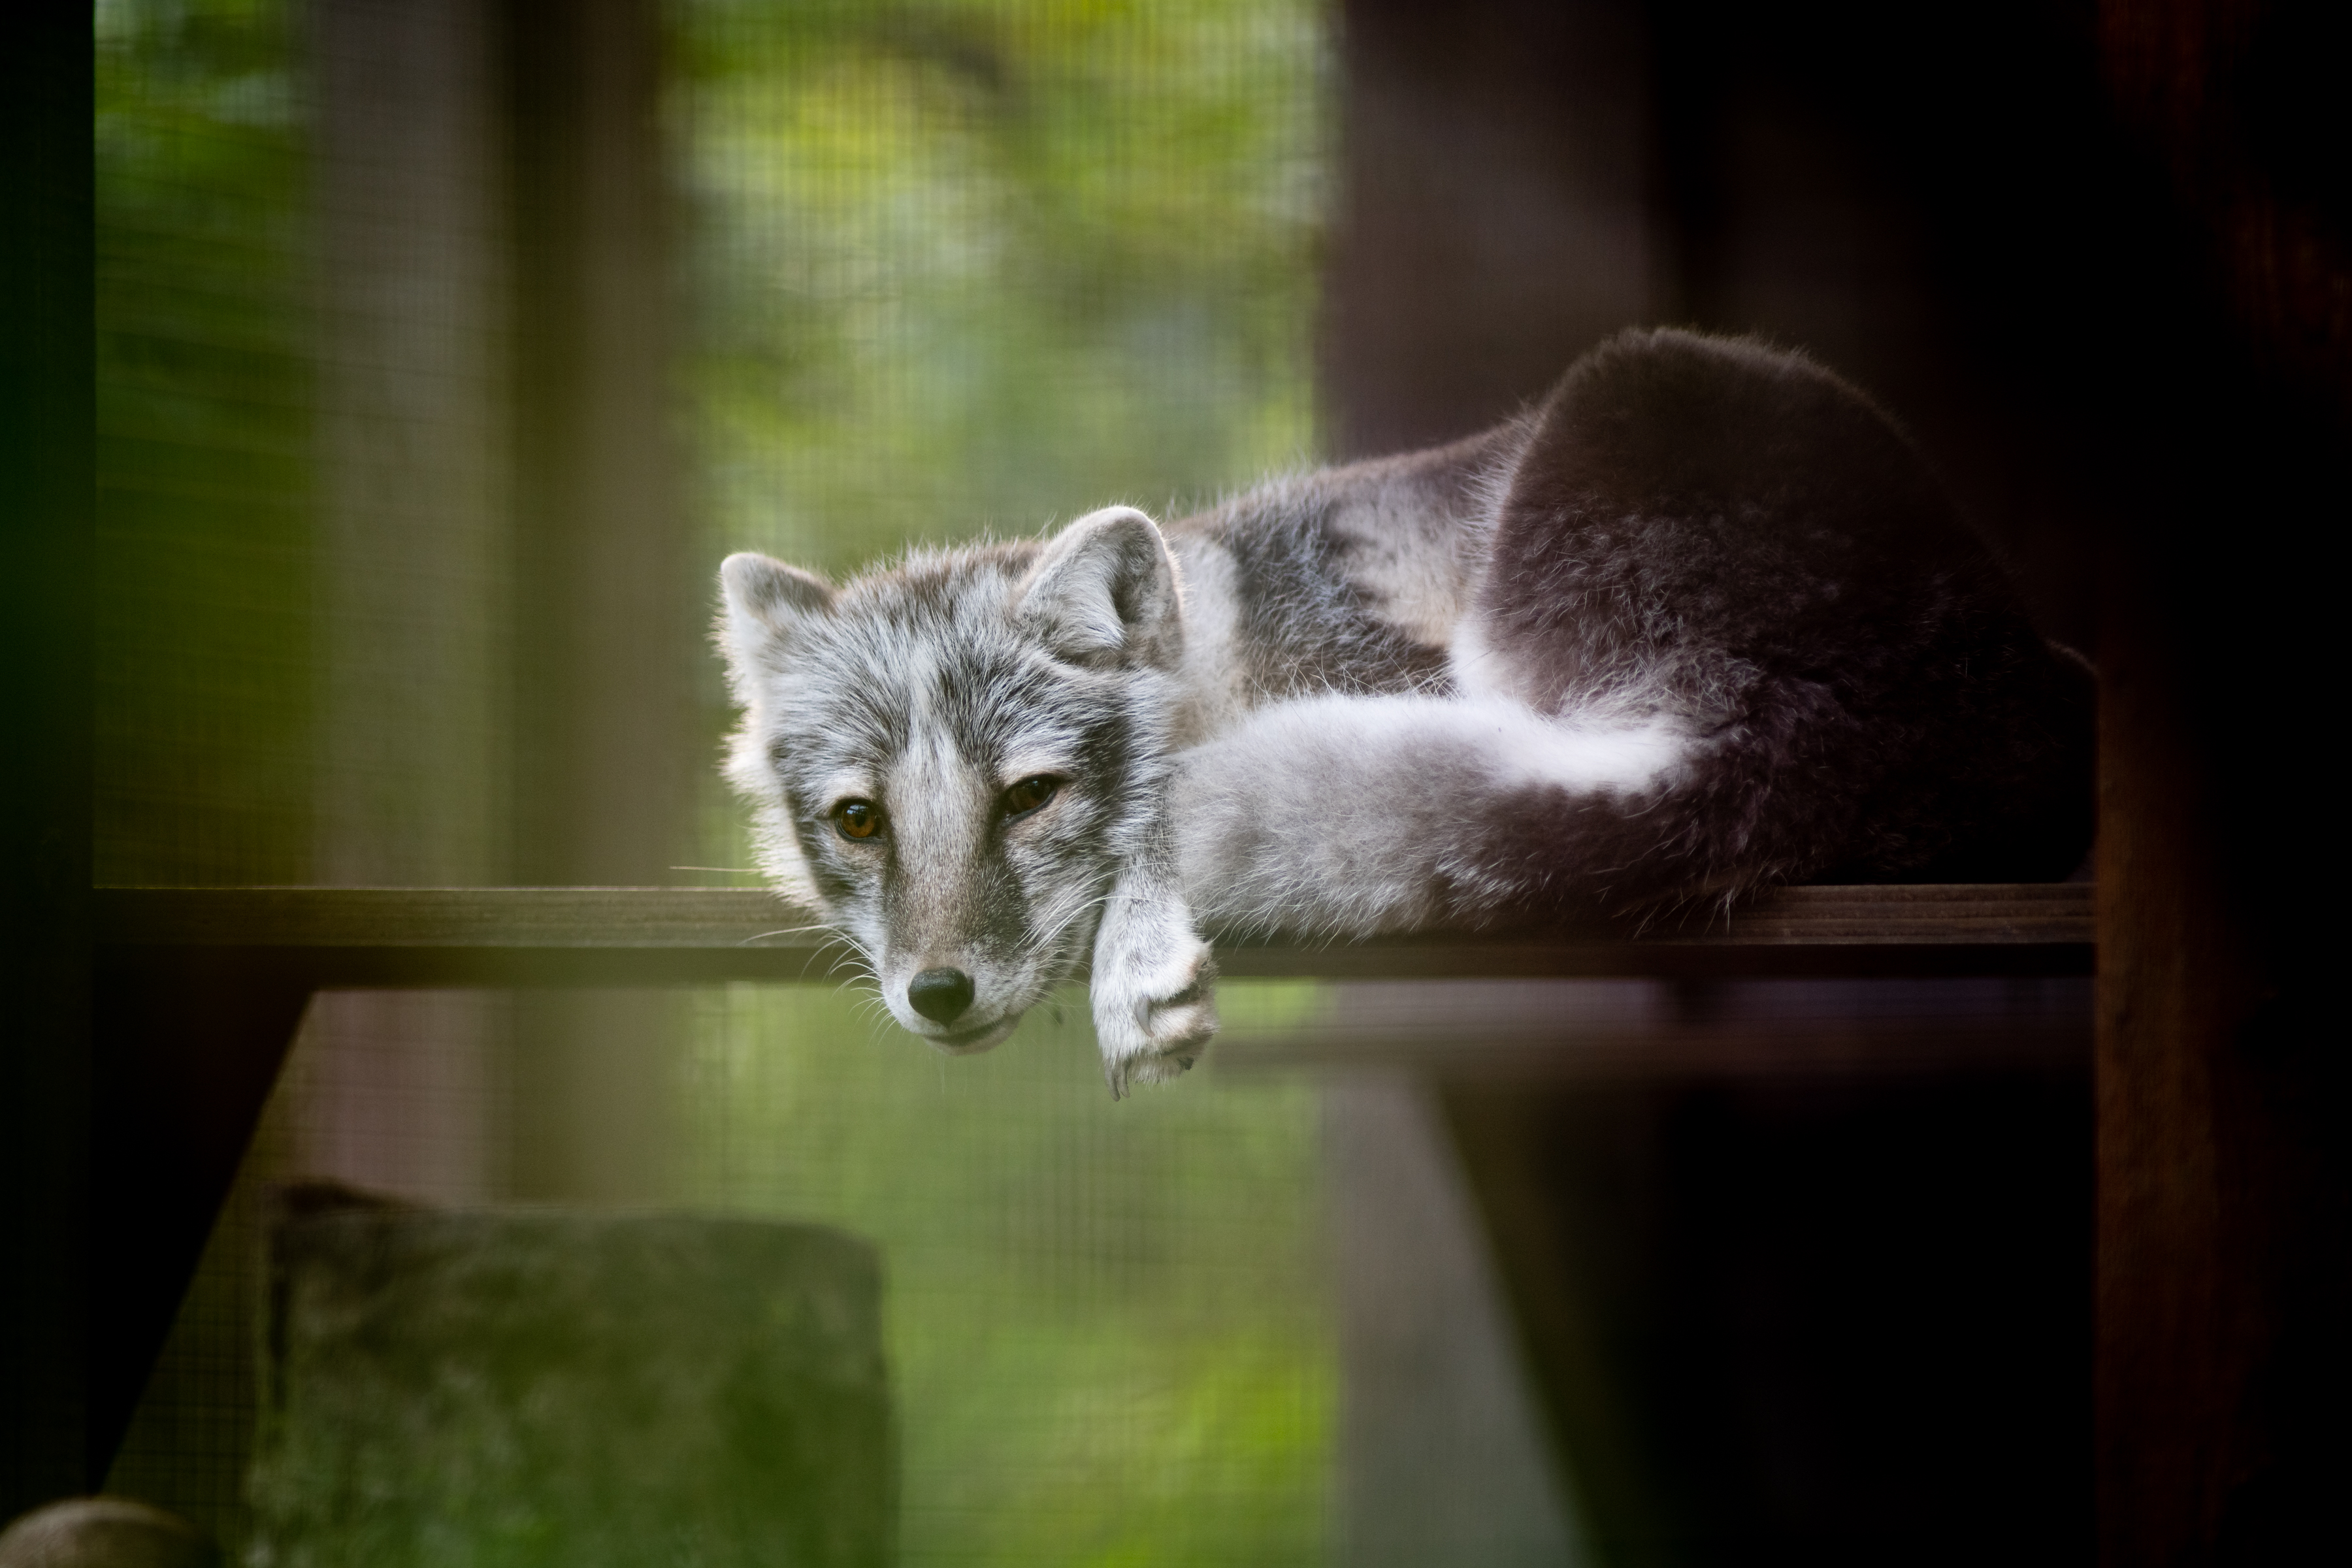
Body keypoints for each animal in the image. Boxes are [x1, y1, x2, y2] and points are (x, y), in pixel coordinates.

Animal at [719, 329, 2098, 1090]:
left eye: (1031, 798)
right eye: (857, 822)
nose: (938, 995)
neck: (1235, 633)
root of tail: (1820, 714)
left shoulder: (1392, 674)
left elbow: (1157, 832)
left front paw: (1139, 943)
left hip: (1632, 398)